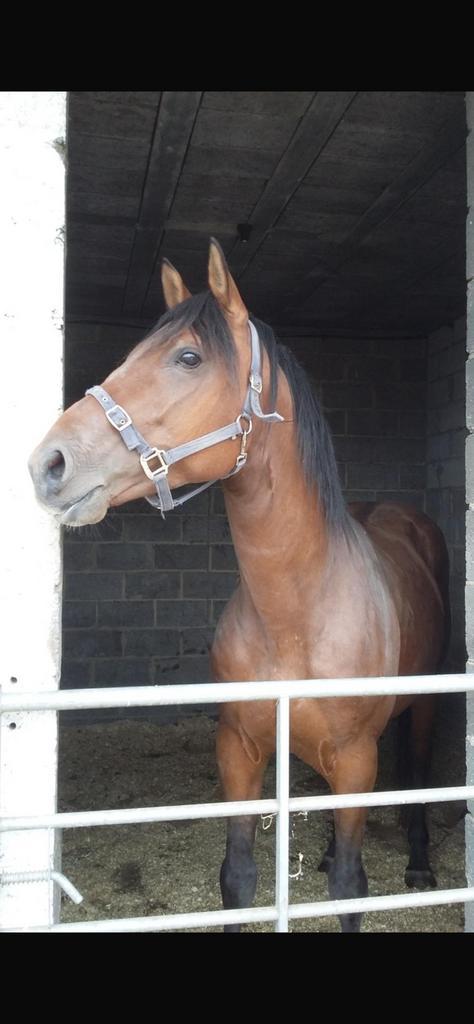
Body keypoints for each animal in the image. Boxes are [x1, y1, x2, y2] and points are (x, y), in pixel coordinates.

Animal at [28, 238, 450, 932]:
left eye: (188, 357)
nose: (48, 465)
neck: (295, 614)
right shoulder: (241, 749)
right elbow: (239, 877)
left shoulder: (357, 756)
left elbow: (350, 887)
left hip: (423, 708)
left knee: (416, 773)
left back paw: (419, 864)